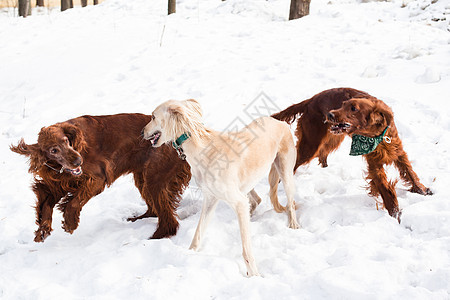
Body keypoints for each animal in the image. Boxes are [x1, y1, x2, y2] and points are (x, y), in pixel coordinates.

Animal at [10, 113, 190, 243]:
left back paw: (157, 236)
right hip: (143, 178)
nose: (78, 161)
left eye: (66, 140)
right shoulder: (57, 185)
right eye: (54, 150)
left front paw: (70, 223)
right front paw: (43, 230)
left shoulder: (96, 179)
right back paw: (138, 219)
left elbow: (74, 202)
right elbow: (46, 205)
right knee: (154, 209)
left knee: (167, 217)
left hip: (155, 178)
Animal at [144, 99, 298, 276]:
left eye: (153, 117)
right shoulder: (211, 199)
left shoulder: (237, 201)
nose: (142, 132)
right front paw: (189, 254)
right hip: (247, 183)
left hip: (285, 173)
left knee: (290, 203)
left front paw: (253, 274)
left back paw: (293, 224)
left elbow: (246, 248)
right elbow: (198, 233)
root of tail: (280, 122)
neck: (202, 149)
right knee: (256, 200)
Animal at [272, 86, 434, 220]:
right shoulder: (374, 164)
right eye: (342, 105)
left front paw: (423, 191)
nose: (330, 114)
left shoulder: (398, 152)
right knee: (295, 162)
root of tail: (310, 100)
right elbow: (385, 189)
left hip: (332, 138)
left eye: (353, 108)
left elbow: (410, 172)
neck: (377, 136)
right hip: (311, 143)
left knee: (322, 153)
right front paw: (395, 214)